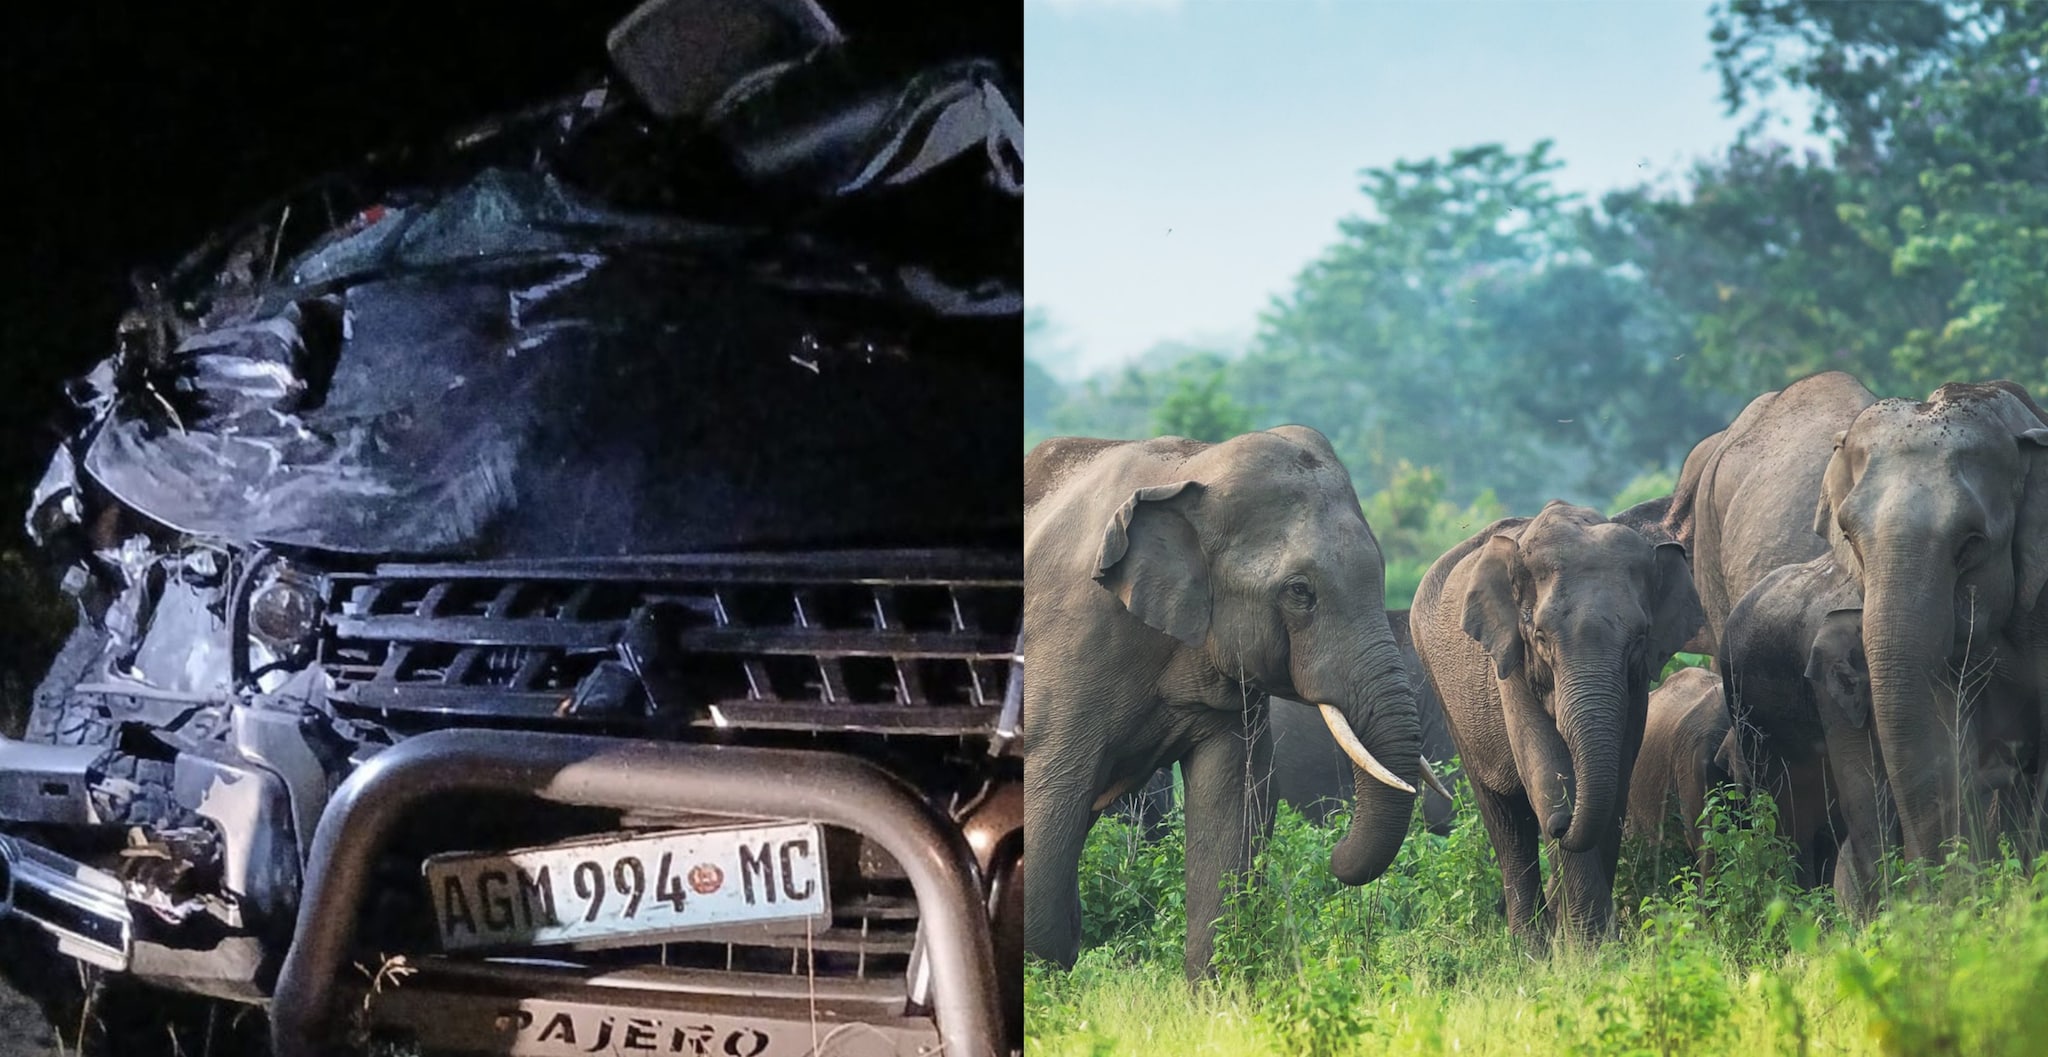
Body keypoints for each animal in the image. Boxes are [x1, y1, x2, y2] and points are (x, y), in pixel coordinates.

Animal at [1022, 427, 1425, 980]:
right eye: (1300, 592)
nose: (1334, 856)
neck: (1189, 471)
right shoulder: (1067, 646)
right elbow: (1049, 791)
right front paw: (1044, 982)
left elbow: (1233, 800)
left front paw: (1215, 991)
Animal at [1412, 501, 1702, 941]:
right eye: (1541, 637)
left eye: (1639, 639)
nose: (1561, 825)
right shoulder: (1510, 663)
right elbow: (1546, 775)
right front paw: (1589, 947)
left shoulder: (1636, 685)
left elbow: (1618, 780)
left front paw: (1593, 944)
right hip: (1442, 688)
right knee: (1506, 819)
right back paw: (1530, 949)